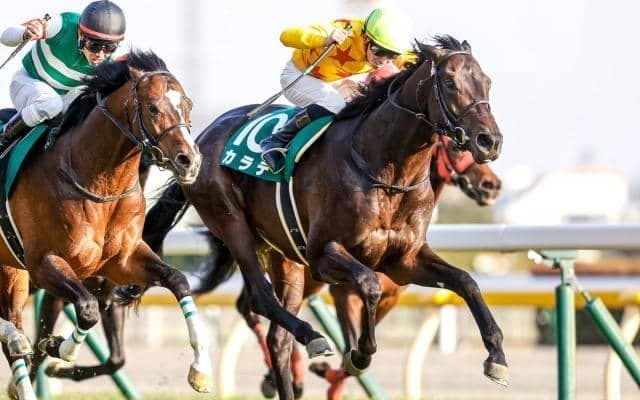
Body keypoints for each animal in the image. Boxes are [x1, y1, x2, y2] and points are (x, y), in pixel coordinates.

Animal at [0, 49, 213, 398]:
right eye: (152, 107)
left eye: (188, 104)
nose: (189, 161)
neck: (100, 184)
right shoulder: (45, 265)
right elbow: (84, 311)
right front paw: (59, 348)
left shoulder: (120, 263)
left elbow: (178, 280)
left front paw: (201, 369)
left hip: (12, 273)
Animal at [139, 35, 506, 399]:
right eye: (450, 82)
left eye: (487, 82)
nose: (490, 141)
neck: (385, 171)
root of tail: (199, 138)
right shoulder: (324, 256)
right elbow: (368, 287)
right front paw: (359, 353)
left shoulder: (405, 261)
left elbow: (466, 282)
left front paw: (497, 356)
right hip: (232, 223)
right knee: (259, 297)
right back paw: (311, 337)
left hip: (283, 254)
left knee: (278, 338)